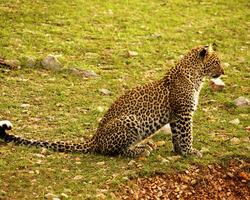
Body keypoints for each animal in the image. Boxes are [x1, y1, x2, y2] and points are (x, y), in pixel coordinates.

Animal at [0, 44, 225, 157]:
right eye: (216, 62)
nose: (223, 71)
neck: (196, 76)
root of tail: (95, 138)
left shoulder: (176, 115)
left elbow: (177, 135)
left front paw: (180, 152)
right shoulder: (184, 113)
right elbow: (187, 135)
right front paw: (190, 152)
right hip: (130, 121)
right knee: (112, 151)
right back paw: (140, 150)